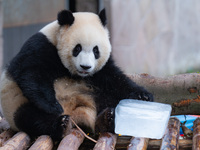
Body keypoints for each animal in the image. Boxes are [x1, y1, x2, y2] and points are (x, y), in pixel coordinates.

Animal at [0, 9, 154, 141]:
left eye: (96, 50)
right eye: (77, 48)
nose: (85, 67)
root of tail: (77, 115)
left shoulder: (101, 70)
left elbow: (115, 79)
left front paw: (143, 96)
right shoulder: (41, 46)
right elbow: (31, 73)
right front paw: (53, 106)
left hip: (92, 93)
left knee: (107, 98)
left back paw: (107, 119)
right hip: (16, 105)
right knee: (33, 118)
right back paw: (61, 125)